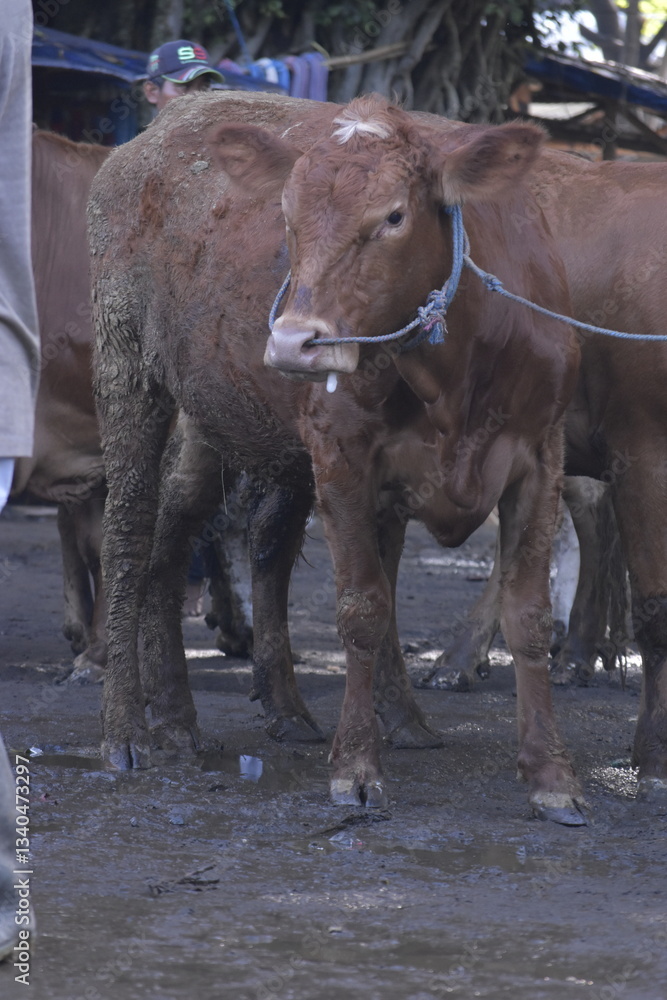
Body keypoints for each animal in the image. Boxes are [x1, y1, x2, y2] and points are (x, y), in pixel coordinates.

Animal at [89, 91, 585, 824]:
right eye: (286, 216)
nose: (293, 342)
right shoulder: (341, 453)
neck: (456, 369)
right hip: (127, 367)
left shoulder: (539, 456)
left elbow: (526, 614)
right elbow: (362, 608)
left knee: (185, 534)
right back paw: (124, 730)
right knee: (128, 535)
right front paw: (355, 767)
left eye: (394, 215)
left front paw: (551, 774)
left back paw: (195, 717)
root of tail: (170, 118)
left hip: (215, 410)